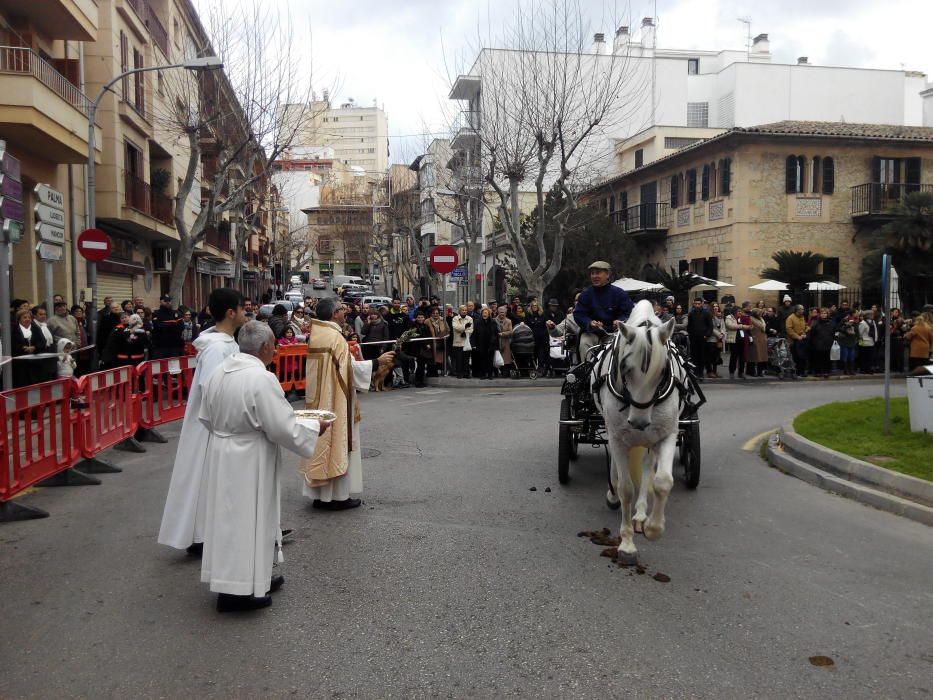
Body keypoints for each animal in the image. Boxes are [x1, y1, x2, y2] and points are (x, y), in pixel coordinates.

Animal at [588, 298, 692, 560]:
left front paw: (653, 528)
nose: (639, 422)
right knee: (618, 467)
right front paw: (626, 543)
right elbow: (626, 488)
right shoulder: (617, 436)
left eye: (663, 372)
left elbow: (662, 481)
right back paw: (613, 495)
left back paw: (641, 513)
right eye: (625, 369)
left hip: (649, 439)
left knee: (647, 466)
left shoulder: (666, 434)